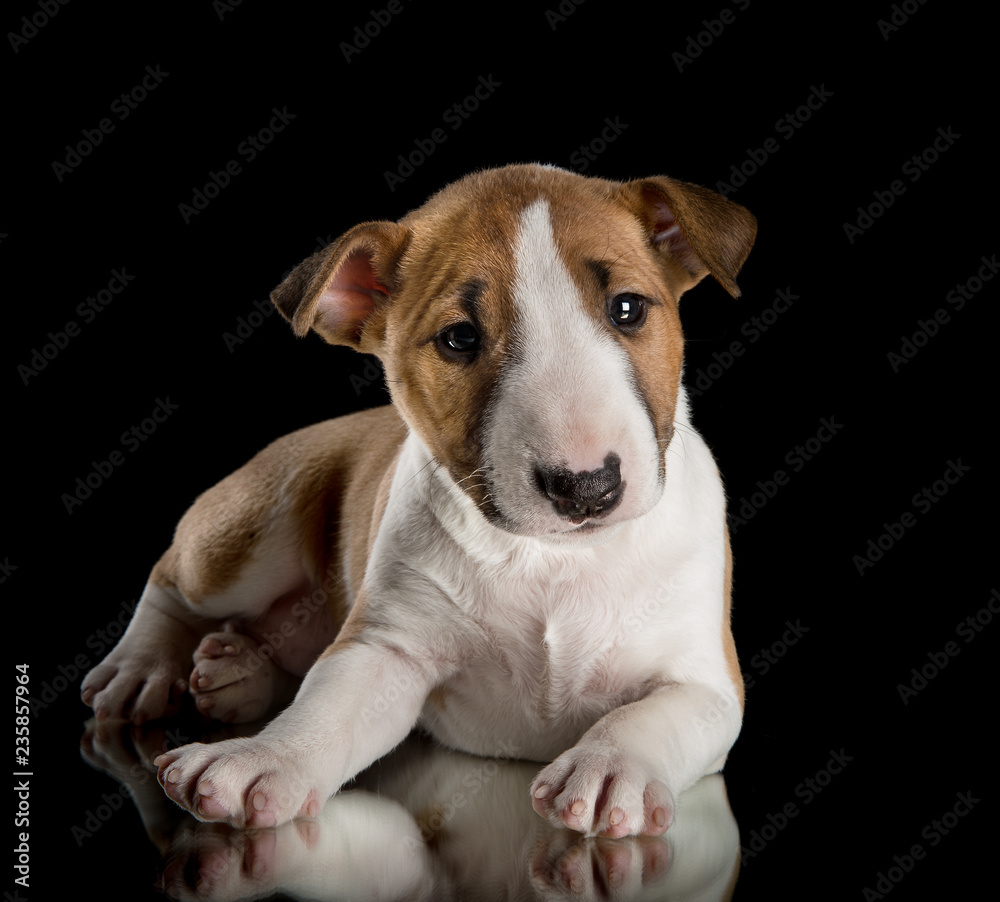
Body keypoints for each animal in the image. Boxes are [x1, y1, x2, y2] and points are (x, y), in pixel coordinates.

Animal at [84, 164, 756, 840]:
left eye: (627, 308)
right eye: (459, 338)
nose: (587, 487)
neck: (554, 558)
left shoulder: (707, 682)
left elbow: (649, 715)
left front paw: (610, 767)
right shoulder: (388, 647)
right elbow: (326, 707)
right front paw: (261, 758)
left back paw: (236, 672)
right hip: (256, 527)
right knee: (174, 579)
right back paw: (143, 667)